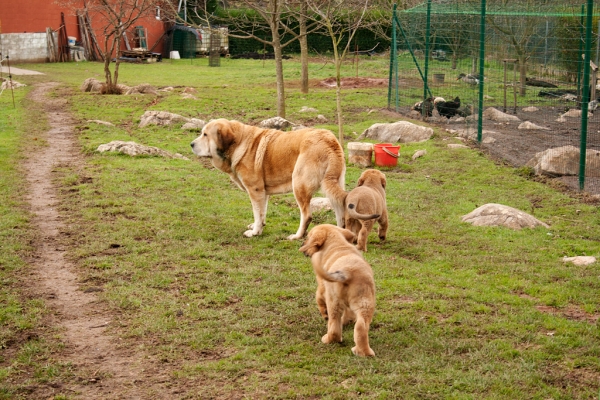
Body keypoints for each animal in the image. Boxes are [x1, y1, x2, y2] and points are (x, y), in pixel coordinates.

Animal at [190, 117, 344, 239]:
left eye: (205, 134)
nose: (191, 144)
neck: (238, 144)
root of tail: (329, 141)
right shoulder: (263, 192)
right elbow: (261, 212)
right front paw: (258, 226)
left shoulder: (255, 190)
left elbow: (257, 212)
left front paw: (254, 232)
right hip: (333, 189)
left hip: (299, 186)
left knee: (306, 216)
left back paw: (297, 236)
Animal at [298, 223, 376, 358]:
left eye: (308, 237)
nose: (302, 244)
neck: (337, 243)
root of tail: (348, 272)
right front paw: (347, 319)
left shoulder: (322, 285)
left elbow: (318, 297)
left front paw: (324, 313)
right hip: (366, 303)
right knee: (361, 327)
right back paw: (364, 352)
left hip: (333, 301)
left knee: (334, 326)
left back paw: (328, 339)